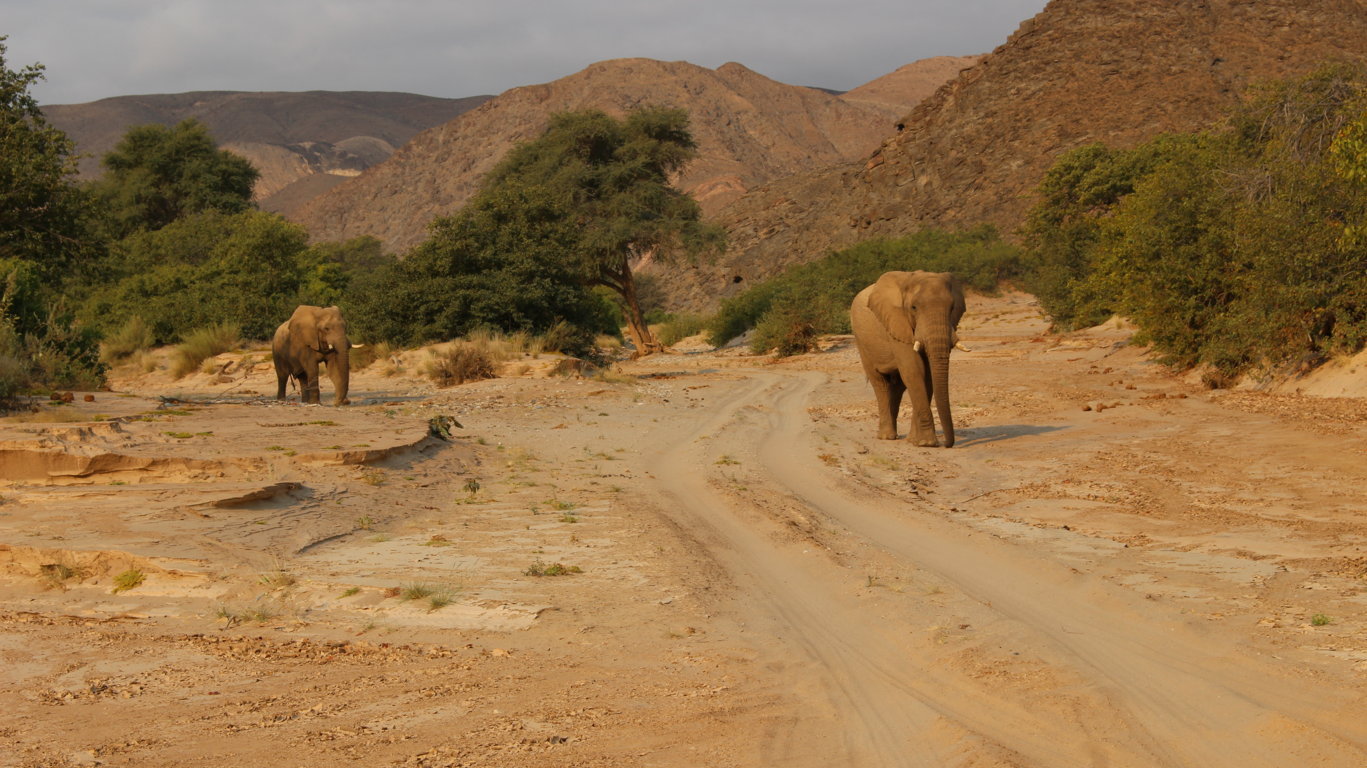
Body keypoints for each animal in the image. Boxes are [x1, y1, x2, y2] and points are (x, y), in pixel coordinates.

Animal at [847, 270, 967, 445]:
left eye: (952, 308)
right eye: (914, 307)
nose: (946, 444)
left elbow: (927, 376)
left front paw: (915, 441)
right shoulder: (897, 324)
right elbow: (914, 370)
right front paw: (927, 443)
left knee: (897, 387)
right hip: (861, 341)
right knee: (880, 383)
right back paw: (886, 437)